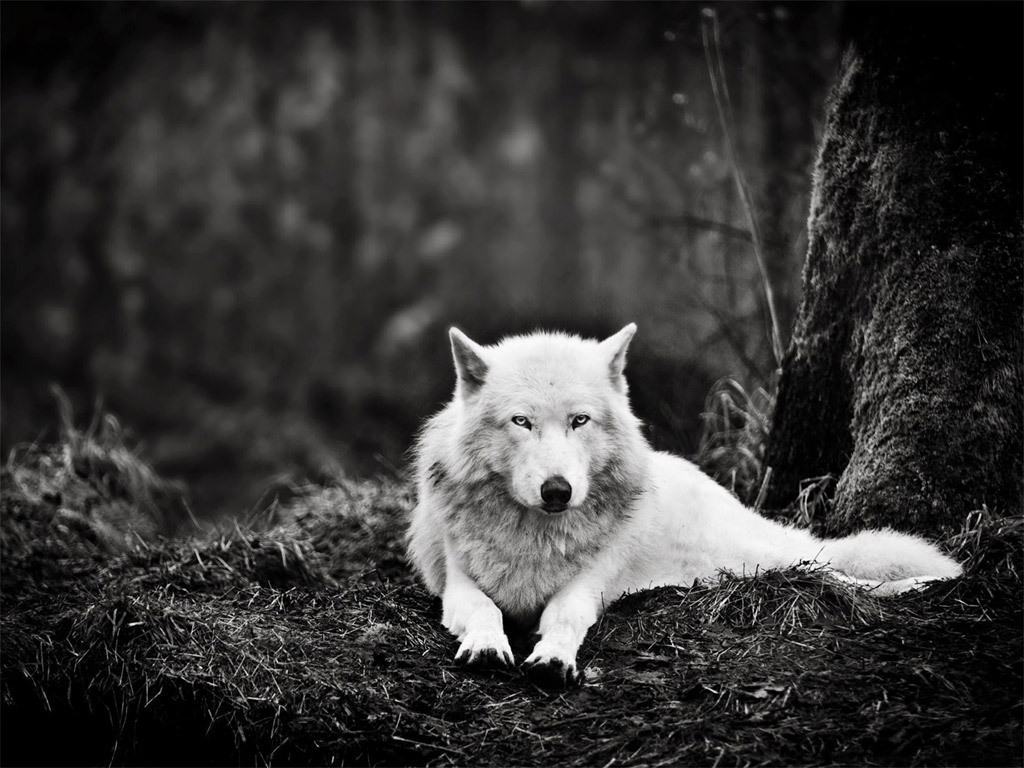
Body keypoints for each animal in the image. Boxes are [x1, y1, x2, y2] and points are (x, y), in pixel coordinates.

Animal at [405, 327, 958, 688]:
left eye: (580, 421)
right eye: (521, 421)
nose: (557, 491)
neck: (536, 535)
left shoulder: (587, 586)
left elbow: (563, 616)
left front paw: (554, 658)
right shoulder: (457, 582)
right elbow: (484, 609)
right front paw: (486, 645)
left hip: (760, 559)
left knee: (836, 572)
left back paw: (928, 582)